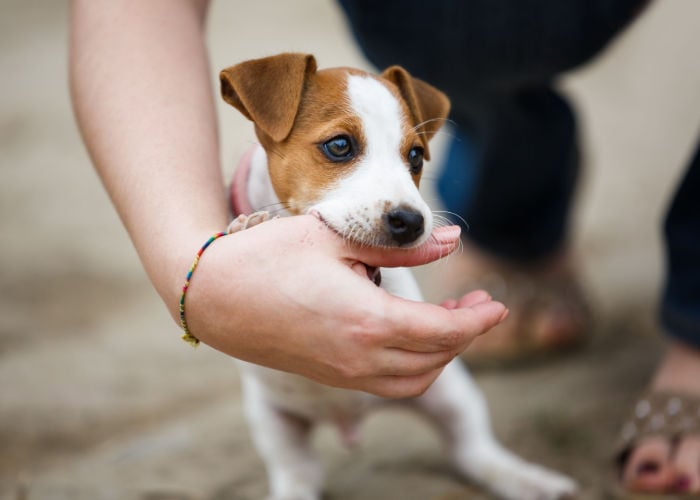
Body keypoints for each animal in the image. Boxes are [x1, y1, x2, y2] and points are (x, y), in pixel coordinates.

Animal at [219, 52, 576, 498]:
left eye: (416, 156)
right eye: (339, 146)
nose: (411, 221)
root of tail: (350, 417)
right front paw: (249, 230)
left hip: (450, 394)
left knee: (472, 450)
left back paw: (525, 478)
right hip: (274, 423)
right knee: (297, 474)